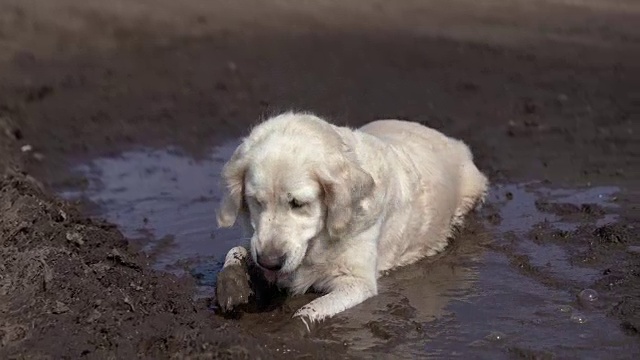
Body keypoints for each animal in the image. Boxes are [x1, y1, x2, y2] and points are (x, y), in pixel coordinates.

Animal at [218, 111, 488, 328]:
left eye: (297, 203)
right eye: (256, 201)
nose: (270, 262)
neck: (320, 240)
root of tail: (454, 142)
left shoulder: (358, 281)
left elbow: (308, 310)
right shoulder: (261, 247)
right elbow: (237, 250)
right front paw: (232, 286)